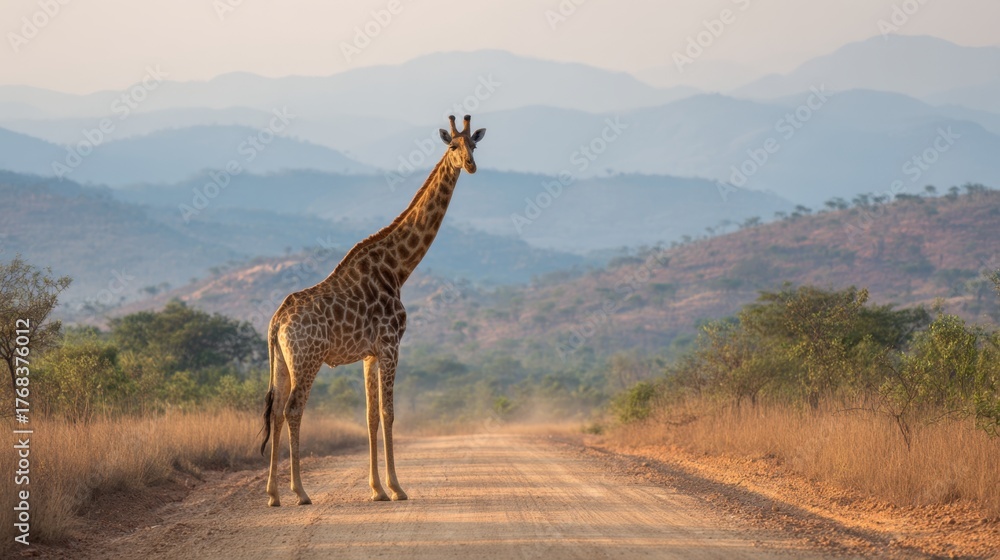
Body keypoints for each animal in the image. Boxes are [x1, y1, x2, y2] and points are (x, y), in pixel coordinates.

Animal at [259, 115, 486, 506]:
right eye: (453, 146)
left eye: (475, 143)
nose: (471, 165)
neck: (397, 267)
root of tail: (276, 322)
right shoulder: (391, 344)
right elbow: (388, 413)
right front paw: (397, 488)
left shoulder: (369, 353)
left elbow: (370, 416)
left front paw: (377, 488)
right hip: (307, 359)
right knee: (293, 409)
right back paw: (300, 492)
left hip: (283, 361)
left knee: (275, 412)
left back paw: (273, 494)